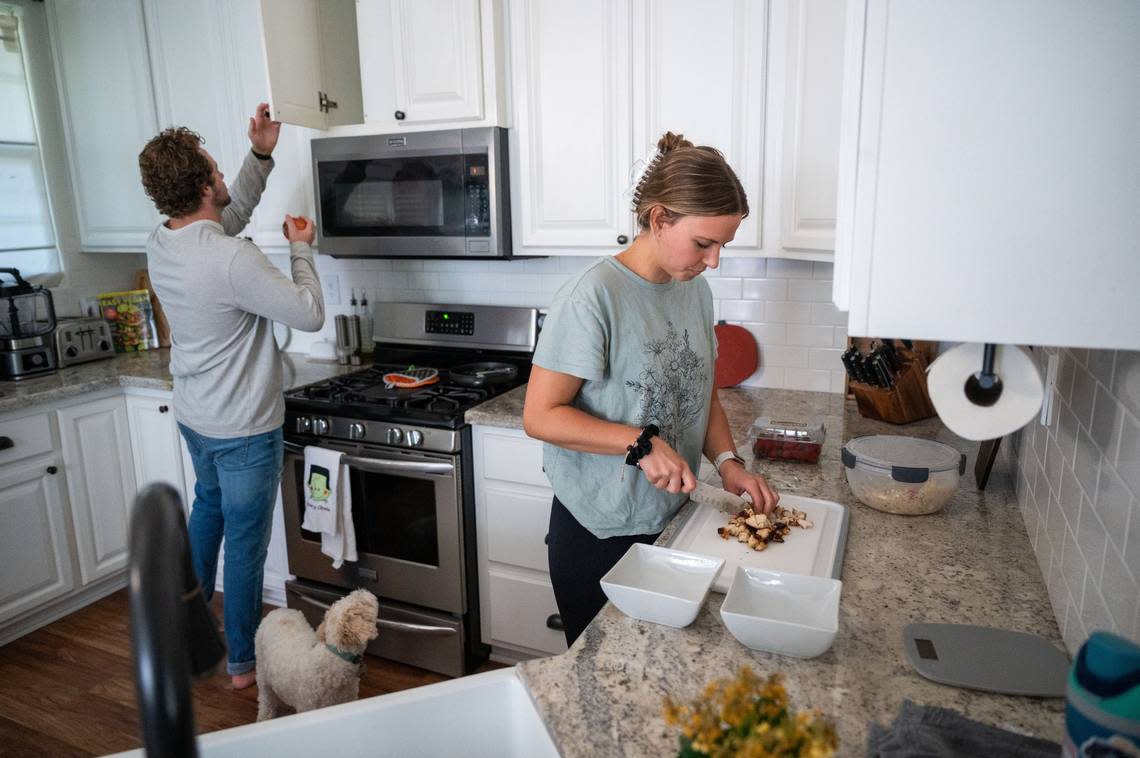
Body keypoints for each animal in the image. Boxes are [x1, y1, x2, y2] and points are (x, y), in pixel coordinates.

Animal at [254, 588, 378, 720]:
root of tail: (279, 610)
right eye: (362, 602)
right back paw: (264, 717)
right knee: (266, 698)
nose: (362, 590)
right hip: (261, 670)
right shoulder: (308, 706)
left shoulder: (348, 700)